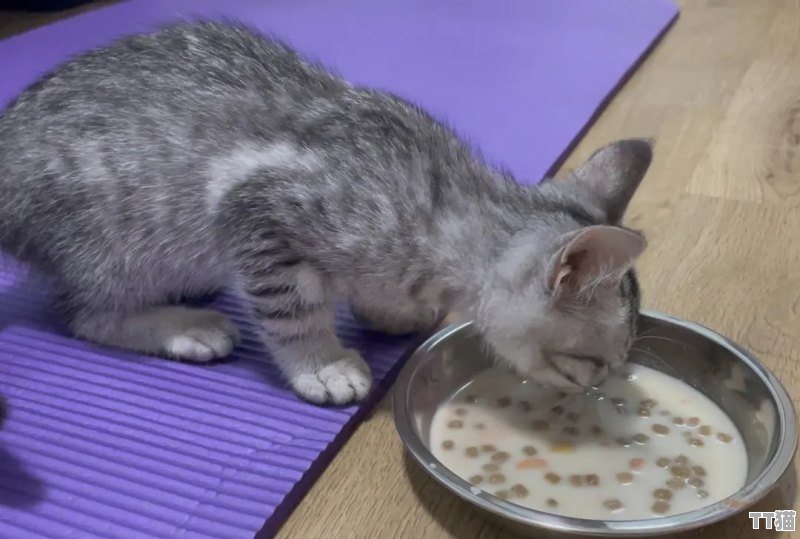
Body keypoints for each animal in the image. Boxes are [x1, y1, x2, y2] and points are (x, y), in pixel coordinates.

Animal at [0, 23, 648, 408]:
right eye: (593, 361)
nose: (608, 386)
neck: (443, 210)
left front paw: (391, 309)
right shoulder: (256, 209)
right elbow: (292, 311)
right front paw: (323, 363)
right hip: (119, 239)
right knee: (83, 314)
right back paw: (182, 326)